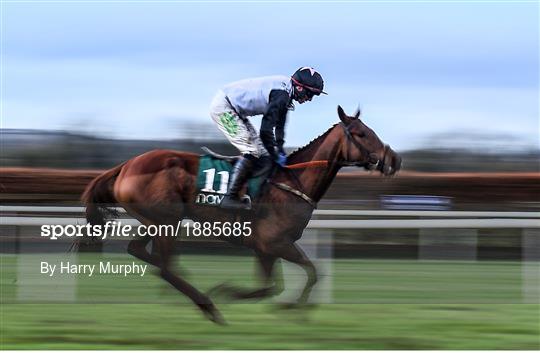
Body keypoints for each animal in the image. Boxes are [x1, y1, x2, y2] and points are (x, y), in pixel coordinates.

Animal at [80, 106, 400, 324]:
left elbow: (280, 283)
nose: (394, 160)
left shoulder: (265, 247)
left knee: (142, 253)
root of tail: (126, 165)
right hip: (167, 221)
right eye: (361, 134)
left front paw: (290, 306)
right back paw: (208, 304)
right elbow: (301, 276)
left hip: (155, 221)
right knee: (164, 268)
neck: (292, 182)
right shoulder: (274, 243)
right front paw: (234, 293)